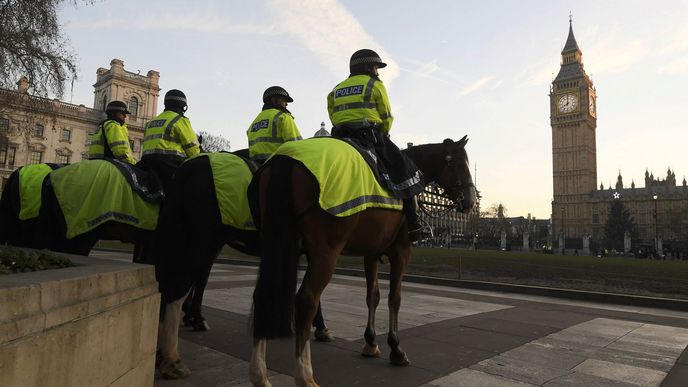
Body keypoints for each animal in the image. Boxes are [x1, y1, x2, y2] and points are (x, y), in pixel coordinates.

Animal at [249, 136, 478, 387]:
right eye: (459, 164)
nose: (471, 201)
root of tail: (285, 159)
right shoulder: (401, 252)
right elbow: (394, 298)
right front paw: (396, 349)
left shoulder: (371, 253)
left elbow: (373, 296)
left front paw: (370, 342)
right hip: (326, 251)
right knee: (307, 299)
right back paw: (304, 375)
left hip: (279, 243)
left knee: (264, 294)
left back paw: (260, 374)